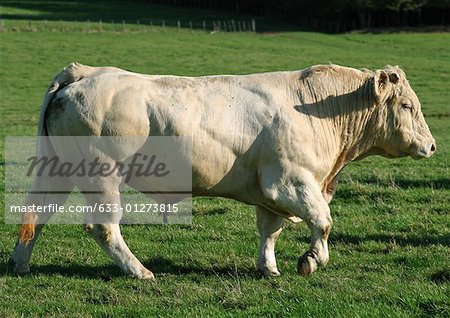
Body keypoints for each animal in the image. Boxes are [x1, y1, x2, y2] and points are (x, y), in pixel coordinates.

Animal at [10, 62, 434, 280]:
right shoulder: (290, 182)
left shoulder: (269, 193)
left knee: (35, 214)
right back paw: (139, 271)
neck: (316, 108)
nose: (431, 145)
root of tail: (85, 72)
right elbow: (323, 220)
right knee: (103, 226)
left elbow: (270, 231)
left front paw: (269, 268)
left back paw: (20, 264)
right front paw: (312, 260)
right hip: (102, 174)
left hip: (59, 170)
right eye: (408, 106)